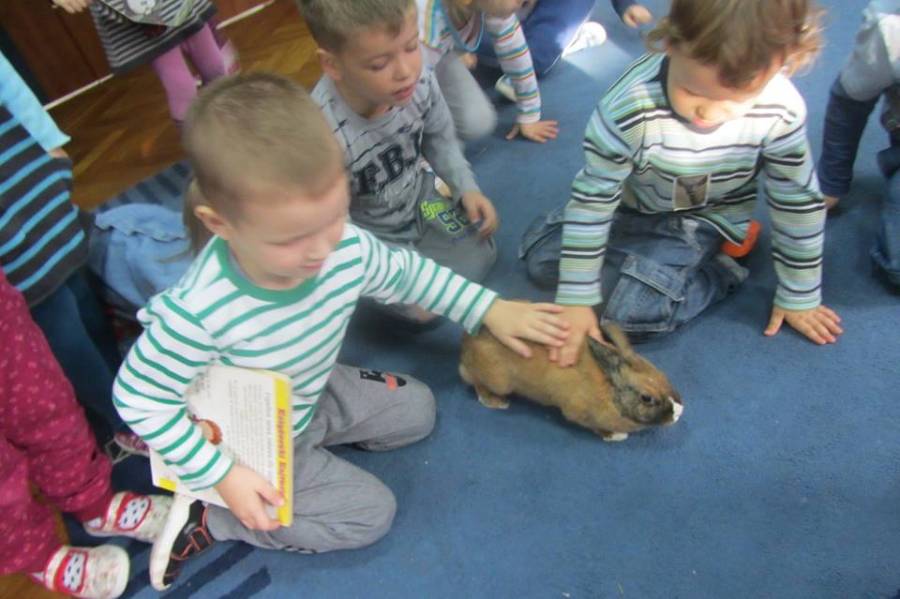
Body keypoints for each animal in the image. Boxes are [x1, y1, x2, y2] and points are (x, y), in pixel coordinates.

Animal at [459, 320, 682, 441]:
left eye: (663, 376)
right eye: (647, 398)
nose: (679, 412)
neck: (610, 390)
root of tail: (466, 349)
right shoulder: (579, 413)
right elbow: (594, 426)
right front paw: (615, 436)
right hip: (499, 381)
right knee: (478, 384)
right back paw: (496, 402)